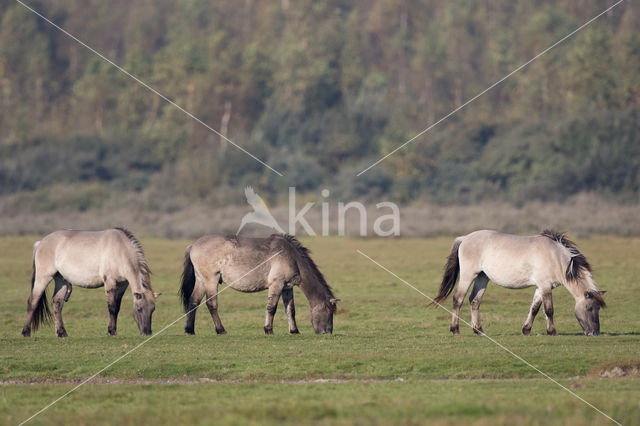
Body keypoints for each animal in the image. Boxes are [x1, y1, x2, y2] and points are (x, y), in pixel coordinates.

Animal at [21, 228, 160, 338]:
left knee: (57, 303)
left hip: (61, 281)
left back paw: (61, 333)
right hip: (43, 278)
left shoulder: (122, 285)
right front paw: (112, 331)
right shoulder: (110, 282)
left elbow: (117, 308)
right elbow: (112, 307)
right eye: (139, 309)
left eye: (153, 309)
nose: (147, 333)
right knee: (33, 301)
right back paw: (26, 332)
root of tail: (40, 243)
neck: (120, 250)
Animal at [180, 235, 340, 334]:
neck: (292, 257)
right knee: (211, 304)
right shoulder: (276, 284)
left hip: (201, 281)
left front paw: (294, 330)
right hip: (211, 281)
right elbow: (272, 308)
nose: (327, 332)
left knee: (193, 302)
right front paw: (268, 329)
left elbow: (290, 310)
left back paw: (190, 330)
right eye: (329, 312)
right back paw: (221, 330)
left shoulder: (287, 288)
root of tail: (193, 245)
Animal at [430, 230, 604, 336]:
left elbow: (534, 308)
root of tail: (465, 238)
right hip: (468, 276)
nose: (594, 332)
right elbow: (549, 310)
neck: (555, 256)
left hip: (482, 277)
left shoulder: (540, 287)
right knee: (458, 299)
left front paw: (526, 330)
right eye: (589, 308)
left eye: (598, 309)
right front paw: (552, 331)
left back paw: (479, 330)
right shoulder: (545, 286)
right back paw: (455, 330)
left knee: (474, 301)